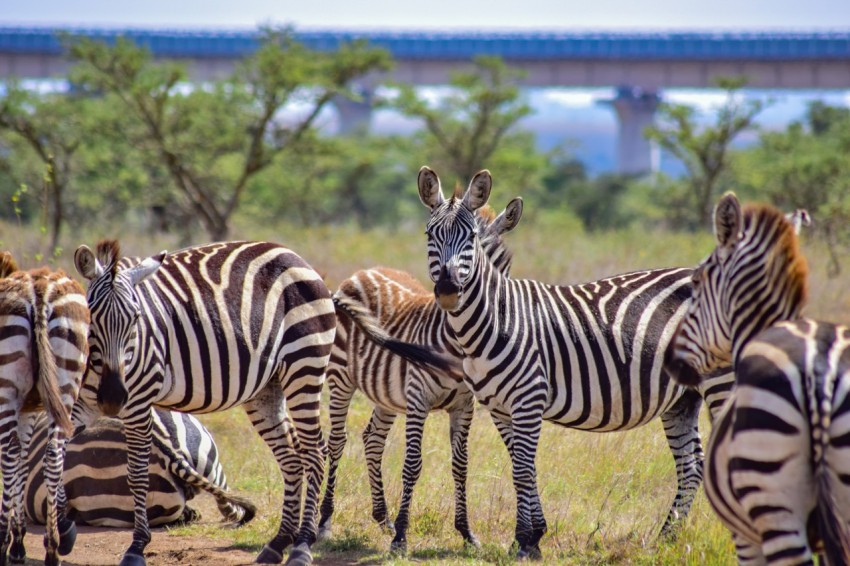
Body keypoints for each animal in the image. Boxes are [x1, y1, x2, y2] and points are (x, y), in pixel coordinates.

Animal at [73, 241, 336, 566]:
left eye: (136, 319)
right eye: (91, 319)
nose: (112, 398)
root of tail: (295, 256)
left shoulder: (138, 402)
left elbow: (137, 476)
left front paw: (136, 547)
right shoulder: (76, 406)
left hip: (305, 365)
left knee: (314, 453)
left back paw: (302, 545)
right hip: (267, 388)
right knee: (291, 457)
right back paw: (279, 542)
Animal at [316, 205, 520, 556]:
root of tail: (360, 274)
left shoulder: (464, 405)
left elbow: (461, 464)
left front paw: (466, 533)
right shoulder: (417, 399)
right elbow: (412, 464)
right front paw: (401, 537)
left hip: (385, 391)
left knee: (372, 438)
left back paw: (382, 517)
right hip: (341, 377)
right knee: (337, 441)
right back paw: (326, 521)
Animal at [410, 168, 728, 560]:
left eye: (469, 237)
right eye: (430, 235)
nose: (448, 290)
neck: (495, 319)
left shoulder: (528, 398)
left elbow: (523, 469)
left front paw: (525, 540)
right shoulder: (499, 407)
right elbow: (521, 465)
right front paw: (531, 537)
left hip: (721, 381)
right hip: (682, 397)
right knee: (691, 465)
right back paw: (666, 537)